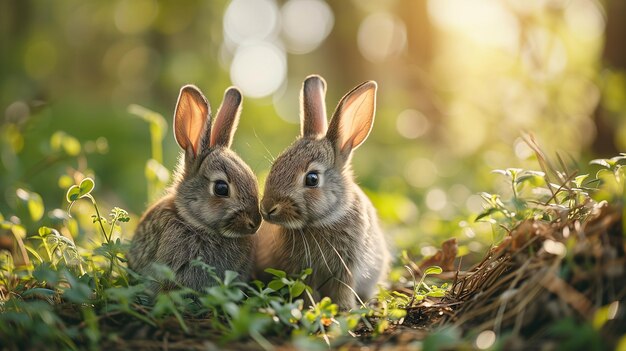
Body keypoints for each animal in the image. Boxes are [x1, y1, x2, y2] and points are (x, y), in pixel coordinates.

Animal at [256, 75, 388, 310]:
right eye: (275, 166)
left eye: (312, 179)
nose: (267, 208)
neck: (323, 221)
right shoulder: (301, 269)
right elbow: (306, 290)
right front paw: (310, 308)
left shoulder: (346, 268)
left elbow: (342, 289)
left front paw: (344, 309)